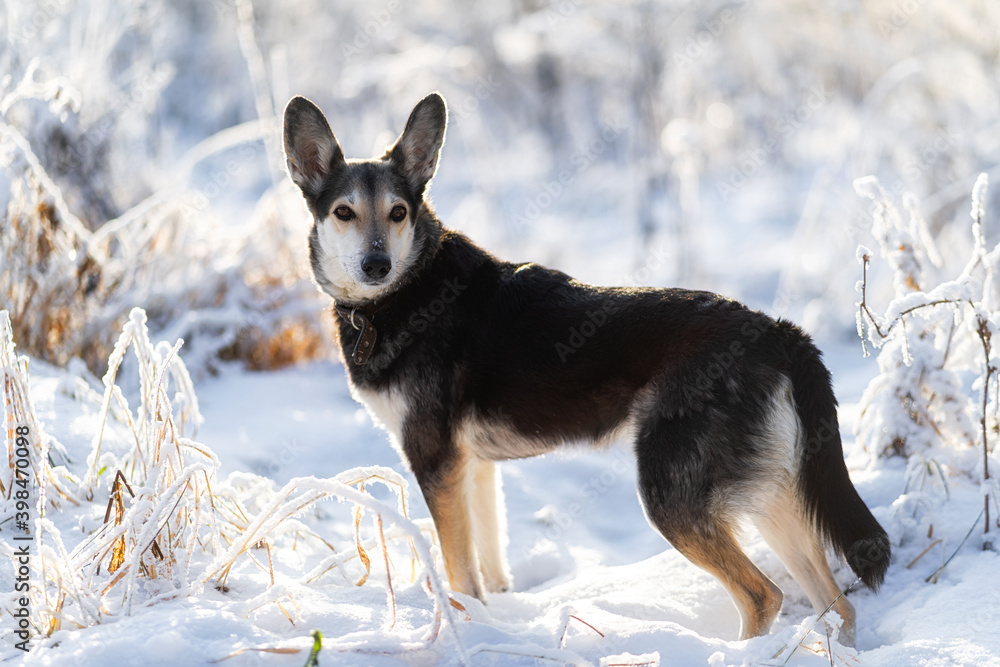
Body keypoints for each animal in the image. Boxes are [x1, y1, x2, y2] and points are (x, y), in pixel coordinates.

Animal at [282, 91, 892, 644]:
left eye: (398, 212)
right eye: (344, 213)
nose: (376, 264)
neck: (405, 294)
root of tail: (776, 331)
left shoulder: (434, 461)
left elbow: (459, 574)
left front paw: (469, 631)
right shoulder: (473, 468)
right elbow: (487, 567)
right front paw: (496, 619)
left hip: (672, 498)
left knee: (763, 596)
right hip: (772, 496)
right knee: (838, 607)